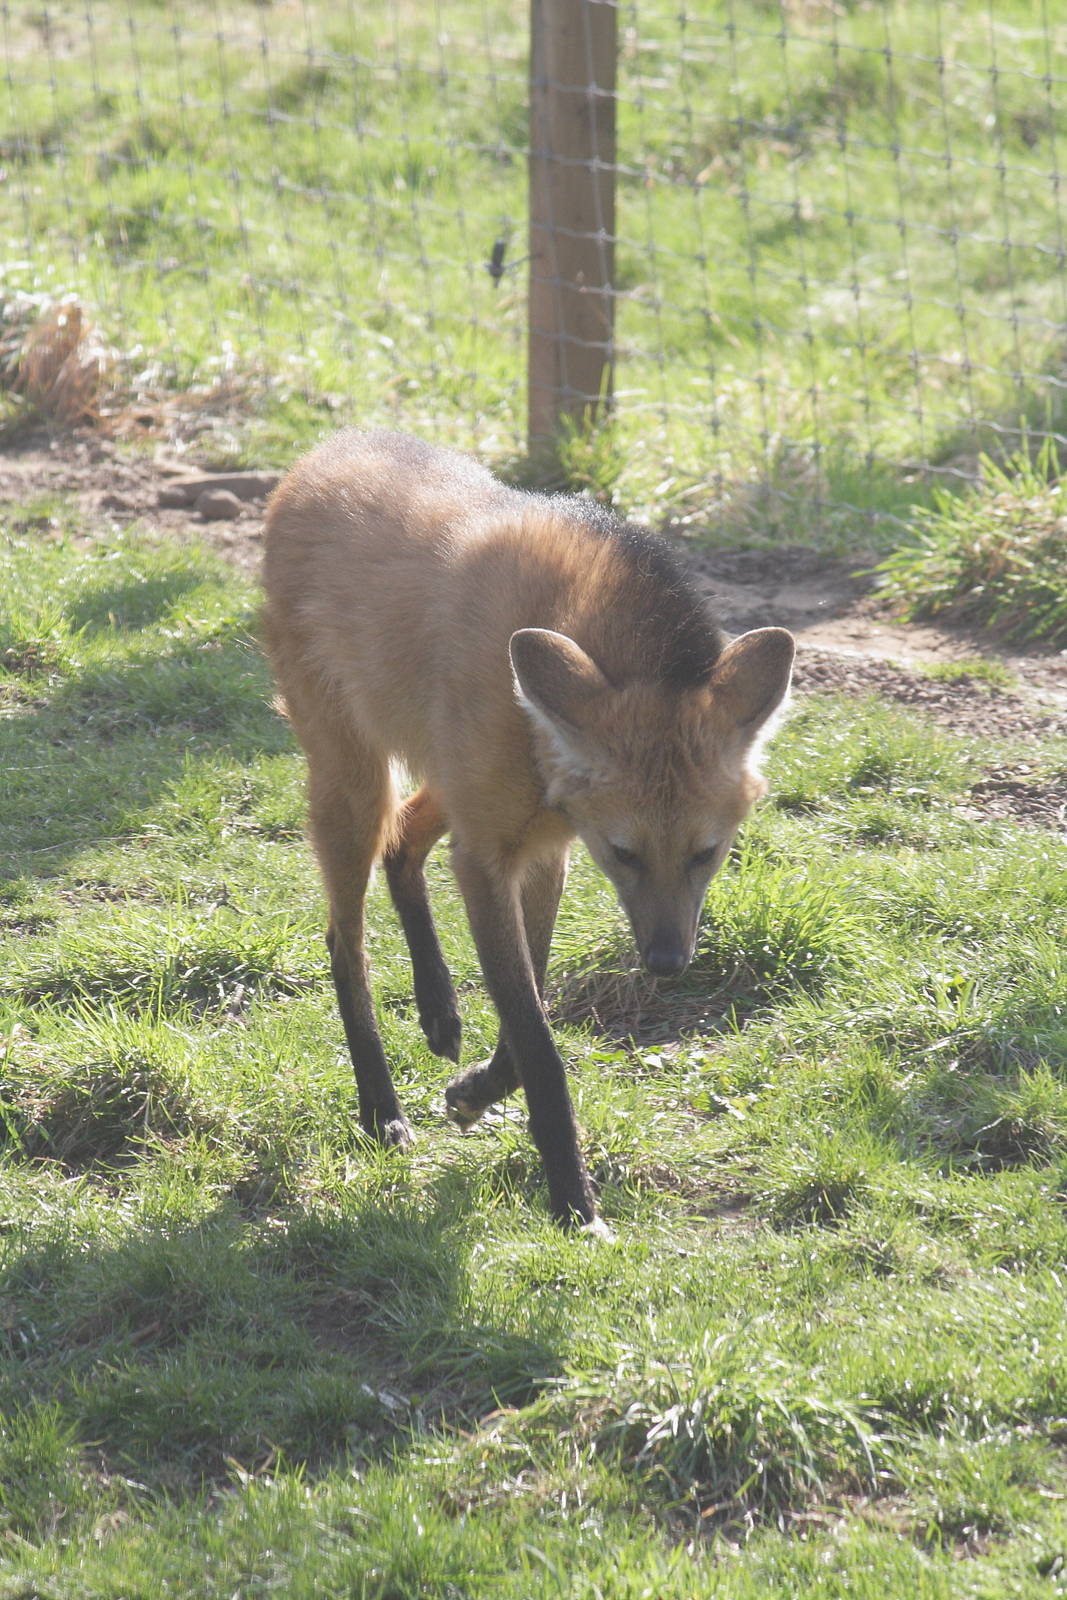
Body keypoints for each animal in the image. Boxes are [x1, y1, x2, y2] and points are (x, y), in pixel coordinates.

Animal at [261, 431, 794, 1229]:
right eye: (626, 855)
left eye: (706, 854)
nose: (667, 963)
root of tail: (327, 448)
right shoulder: (490, 855)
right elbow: (535, 1033)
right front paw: (574, 1201)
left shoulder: (543, 846)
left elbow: (530, 1004)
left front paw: (473, 1093)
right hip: (353, 777)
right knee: (344, 940)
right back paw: (380, 1109)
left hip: (445, 778)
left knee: (404, 840)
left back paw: (439, 1011)